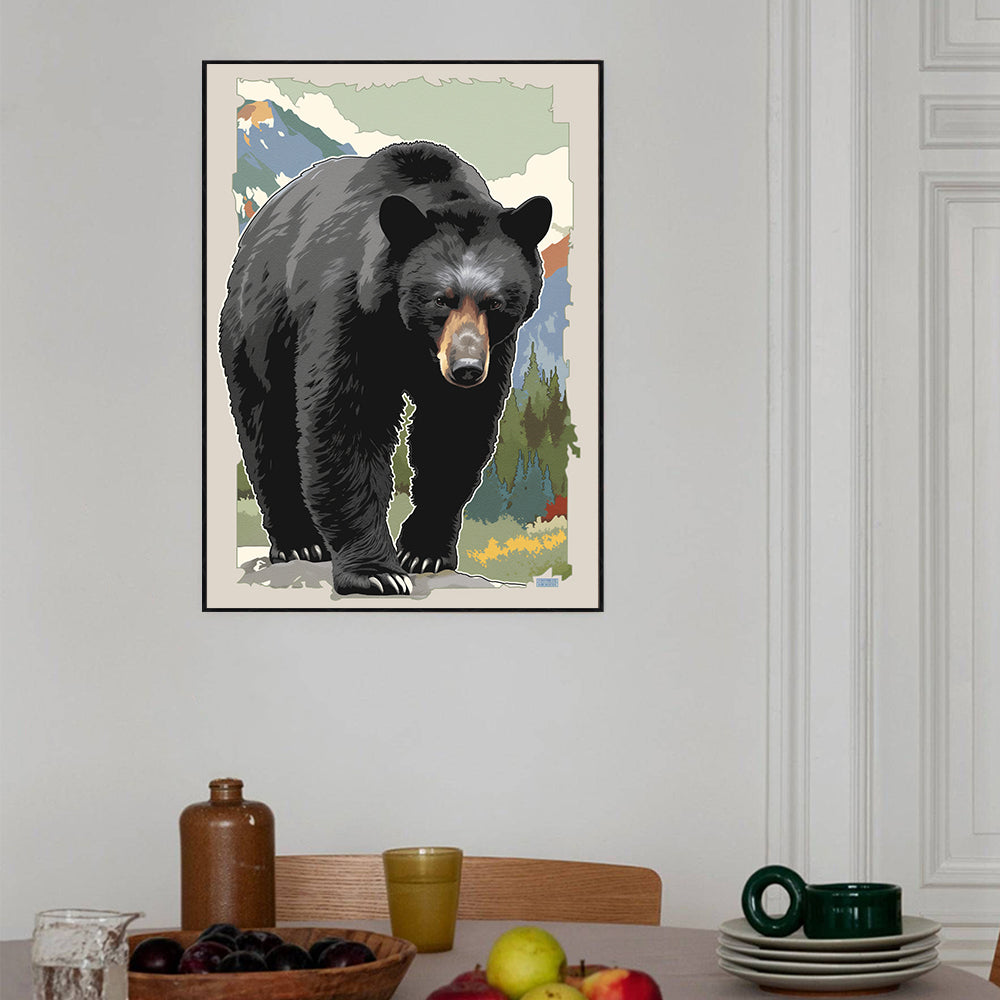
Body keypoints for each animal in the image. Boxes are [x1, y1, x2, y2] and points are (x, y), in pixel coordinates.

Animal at [219, 141, 553, 596]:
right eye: (440, 299)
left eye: (495, 302)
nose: (466, 369)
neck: (410, 335)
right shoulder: (351, 314)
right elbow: (347, 420)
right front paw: (376, 571)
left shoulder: (495, 348)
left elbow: (455, 428)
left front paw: (424, 551)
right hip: (258, 330)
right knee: (266, 424)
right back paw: (298, 542)